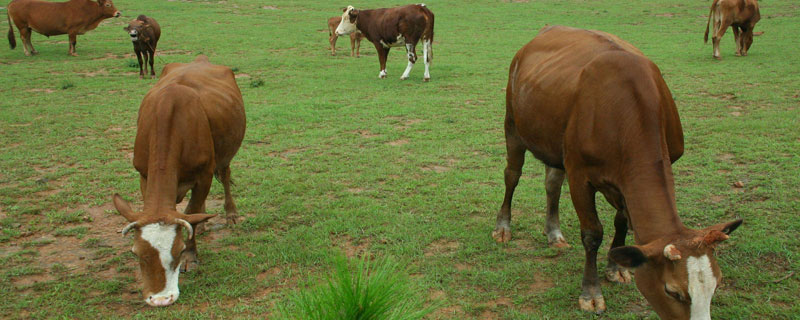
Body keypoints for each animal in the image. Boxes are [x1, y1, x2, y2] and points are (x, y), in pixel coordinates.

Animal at [494, 26, 744, 318]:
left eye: (717, 285)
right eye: (672, 291)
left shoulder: (628, 181)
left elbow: (621, 222)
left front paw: (617, 268)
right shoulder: (579, 174)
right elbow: (592, 234)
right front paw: (591, 293)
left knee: (552, 182)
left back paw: (554, 233)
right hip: (512, 124)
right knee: (512, 175)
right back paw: (503, 227)